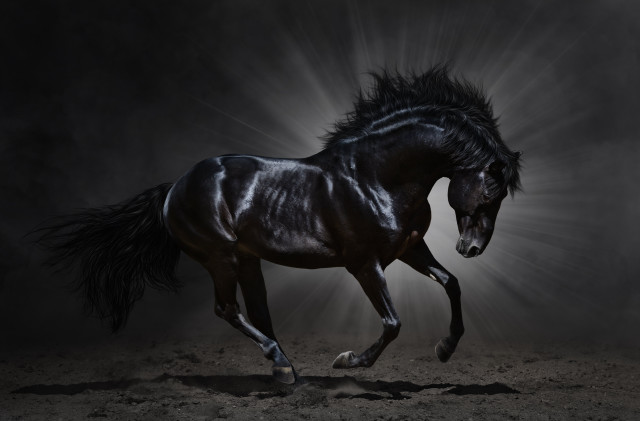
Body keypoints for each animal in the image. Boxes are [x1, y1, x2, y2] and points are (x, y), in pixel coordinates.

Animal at [37, 65, 521, 385]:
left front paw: (445, 348)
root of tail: (174, 187)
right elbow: (392, 322)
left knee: (258, 313)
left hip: (247, 260)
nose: (471, 248)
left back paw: (286, 370)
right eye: (490, 192)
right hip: (221, 257)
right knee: (228, 309)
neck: (375, 177)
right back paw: (283, 366)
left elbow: (451, 283)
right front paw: (347, 361)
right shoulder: (365, 264)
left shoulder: (409, 249)